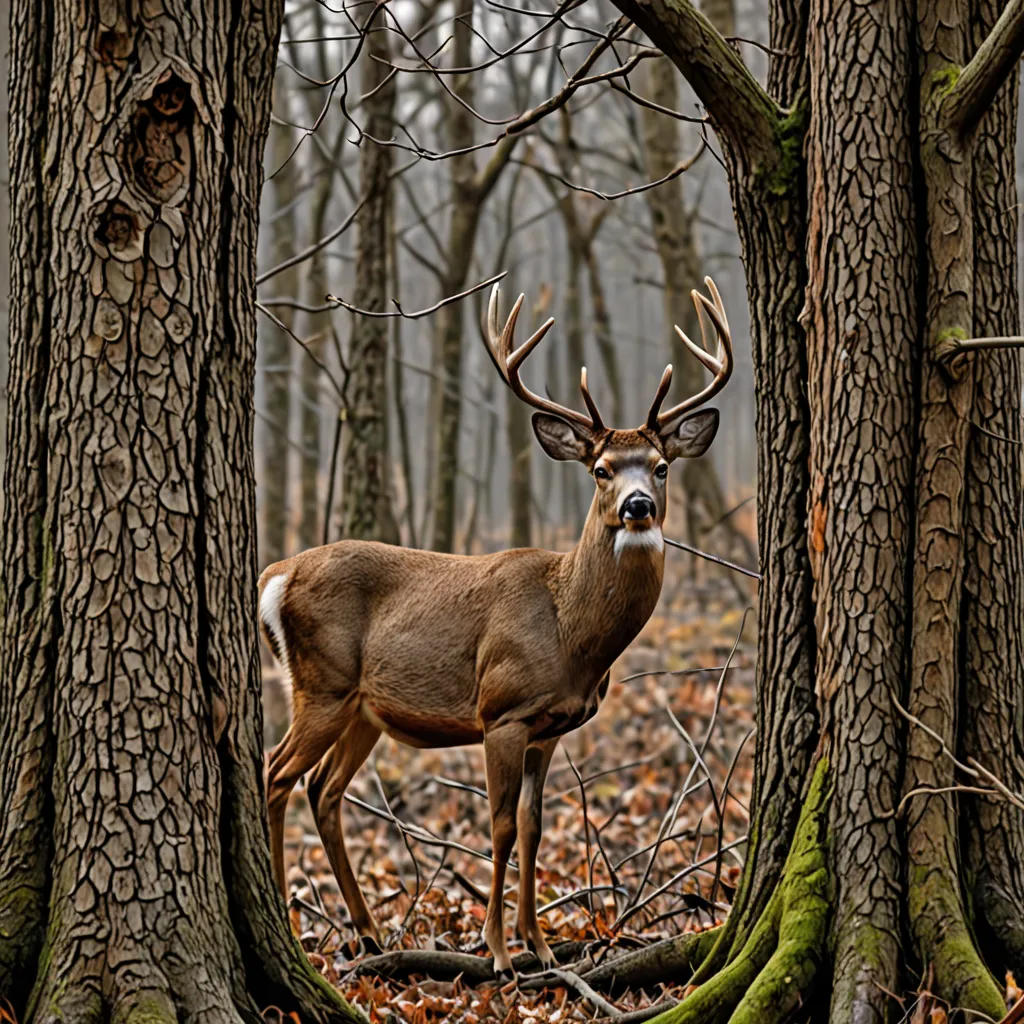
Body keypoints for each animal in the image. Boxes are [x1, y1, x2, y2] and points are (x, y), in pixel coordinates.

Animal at [258, 276, 734, 978]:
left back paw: (369, 932)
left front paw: (542, 945)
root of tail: (279, 574)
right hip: (323, 683)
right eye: (601, 469)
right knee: (277, 774)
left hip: (363, 709)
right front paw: (501, 952)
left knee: (323, 789)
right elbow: (502, 826)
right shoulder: (502, 710)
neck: (571, 633)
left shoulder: (550, 727)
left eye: (660, 465)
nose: (638, 505)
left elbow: (535, 826)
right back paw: (293, 927)